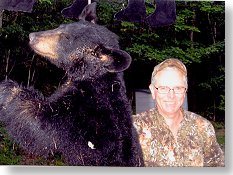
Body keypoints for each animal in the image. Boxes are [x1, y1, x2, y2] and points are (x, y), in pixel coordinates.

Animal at [0, 3, 143, 167]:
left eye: (65, 37)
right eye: (61, 26)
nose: (32, 36)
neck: (92, 78)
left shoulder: (82, 116)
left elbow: (39, 124)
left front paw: (6, 88)